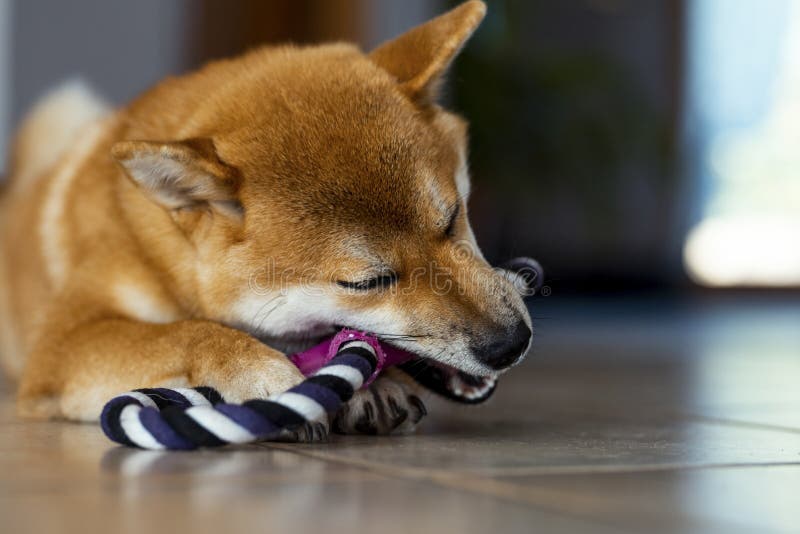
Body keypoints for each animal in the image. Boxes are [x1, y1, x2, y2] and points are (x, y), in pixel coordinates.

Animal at [1, 0, 536, 438]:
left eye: (452, 218)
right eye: (367, 283)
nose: (510, 342)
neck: (155, 253)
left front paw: (374, 387)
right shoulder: (61, 344)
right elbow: (181, 332)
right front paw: (260, 372)